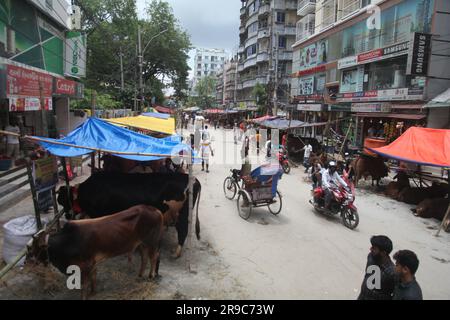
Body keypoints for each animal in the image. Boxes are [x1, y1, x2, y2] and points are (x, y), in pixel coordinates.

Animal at [25, 202, 183, 300]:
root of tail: (155, 210)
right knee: (145, 257)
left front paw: (86, 295)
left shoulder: (85, 266)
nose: (26, 264)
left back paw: (151, 275)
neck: (68, 241)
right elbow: (94, 278)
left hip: (151, 242)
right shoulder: (92, 264)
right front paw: (94, 292)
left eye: (31, 249)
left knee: (153, 257)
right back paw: (139, 275)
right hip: (142, 243)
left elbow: (84, 285)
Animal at [57, 172, 201, 258]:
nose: (67, 216)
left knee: (183, 230)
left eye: (64, 201)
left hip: (181, 215)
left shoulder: (99, 213)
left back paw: (176, 253)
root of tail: (193, 179)